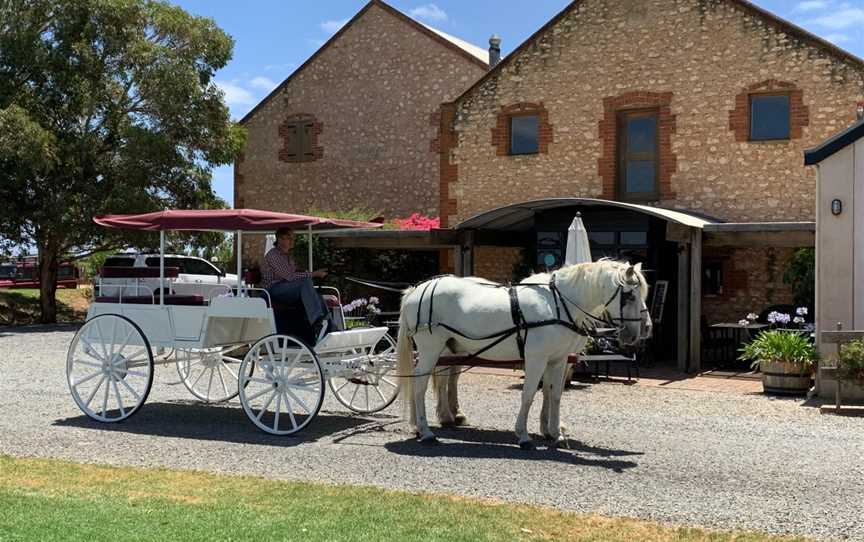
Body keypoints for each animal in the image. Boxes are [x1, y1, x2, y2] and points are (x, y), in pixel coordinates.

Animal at [394, 262, 652, 448]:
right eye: (630, 295)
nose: (645, 329)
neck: (557, 304)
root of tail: (417, 290)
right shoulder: (536, 359)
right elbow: (528, 395)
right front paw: (524, 435)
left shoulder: (558, 360)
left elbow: (554, 395)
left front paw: (555, 433)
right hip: (430, 349)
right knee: (419, 386)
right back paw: (426, 431)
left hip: (448, 348)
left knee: (440, 379)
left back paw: (428, 423)